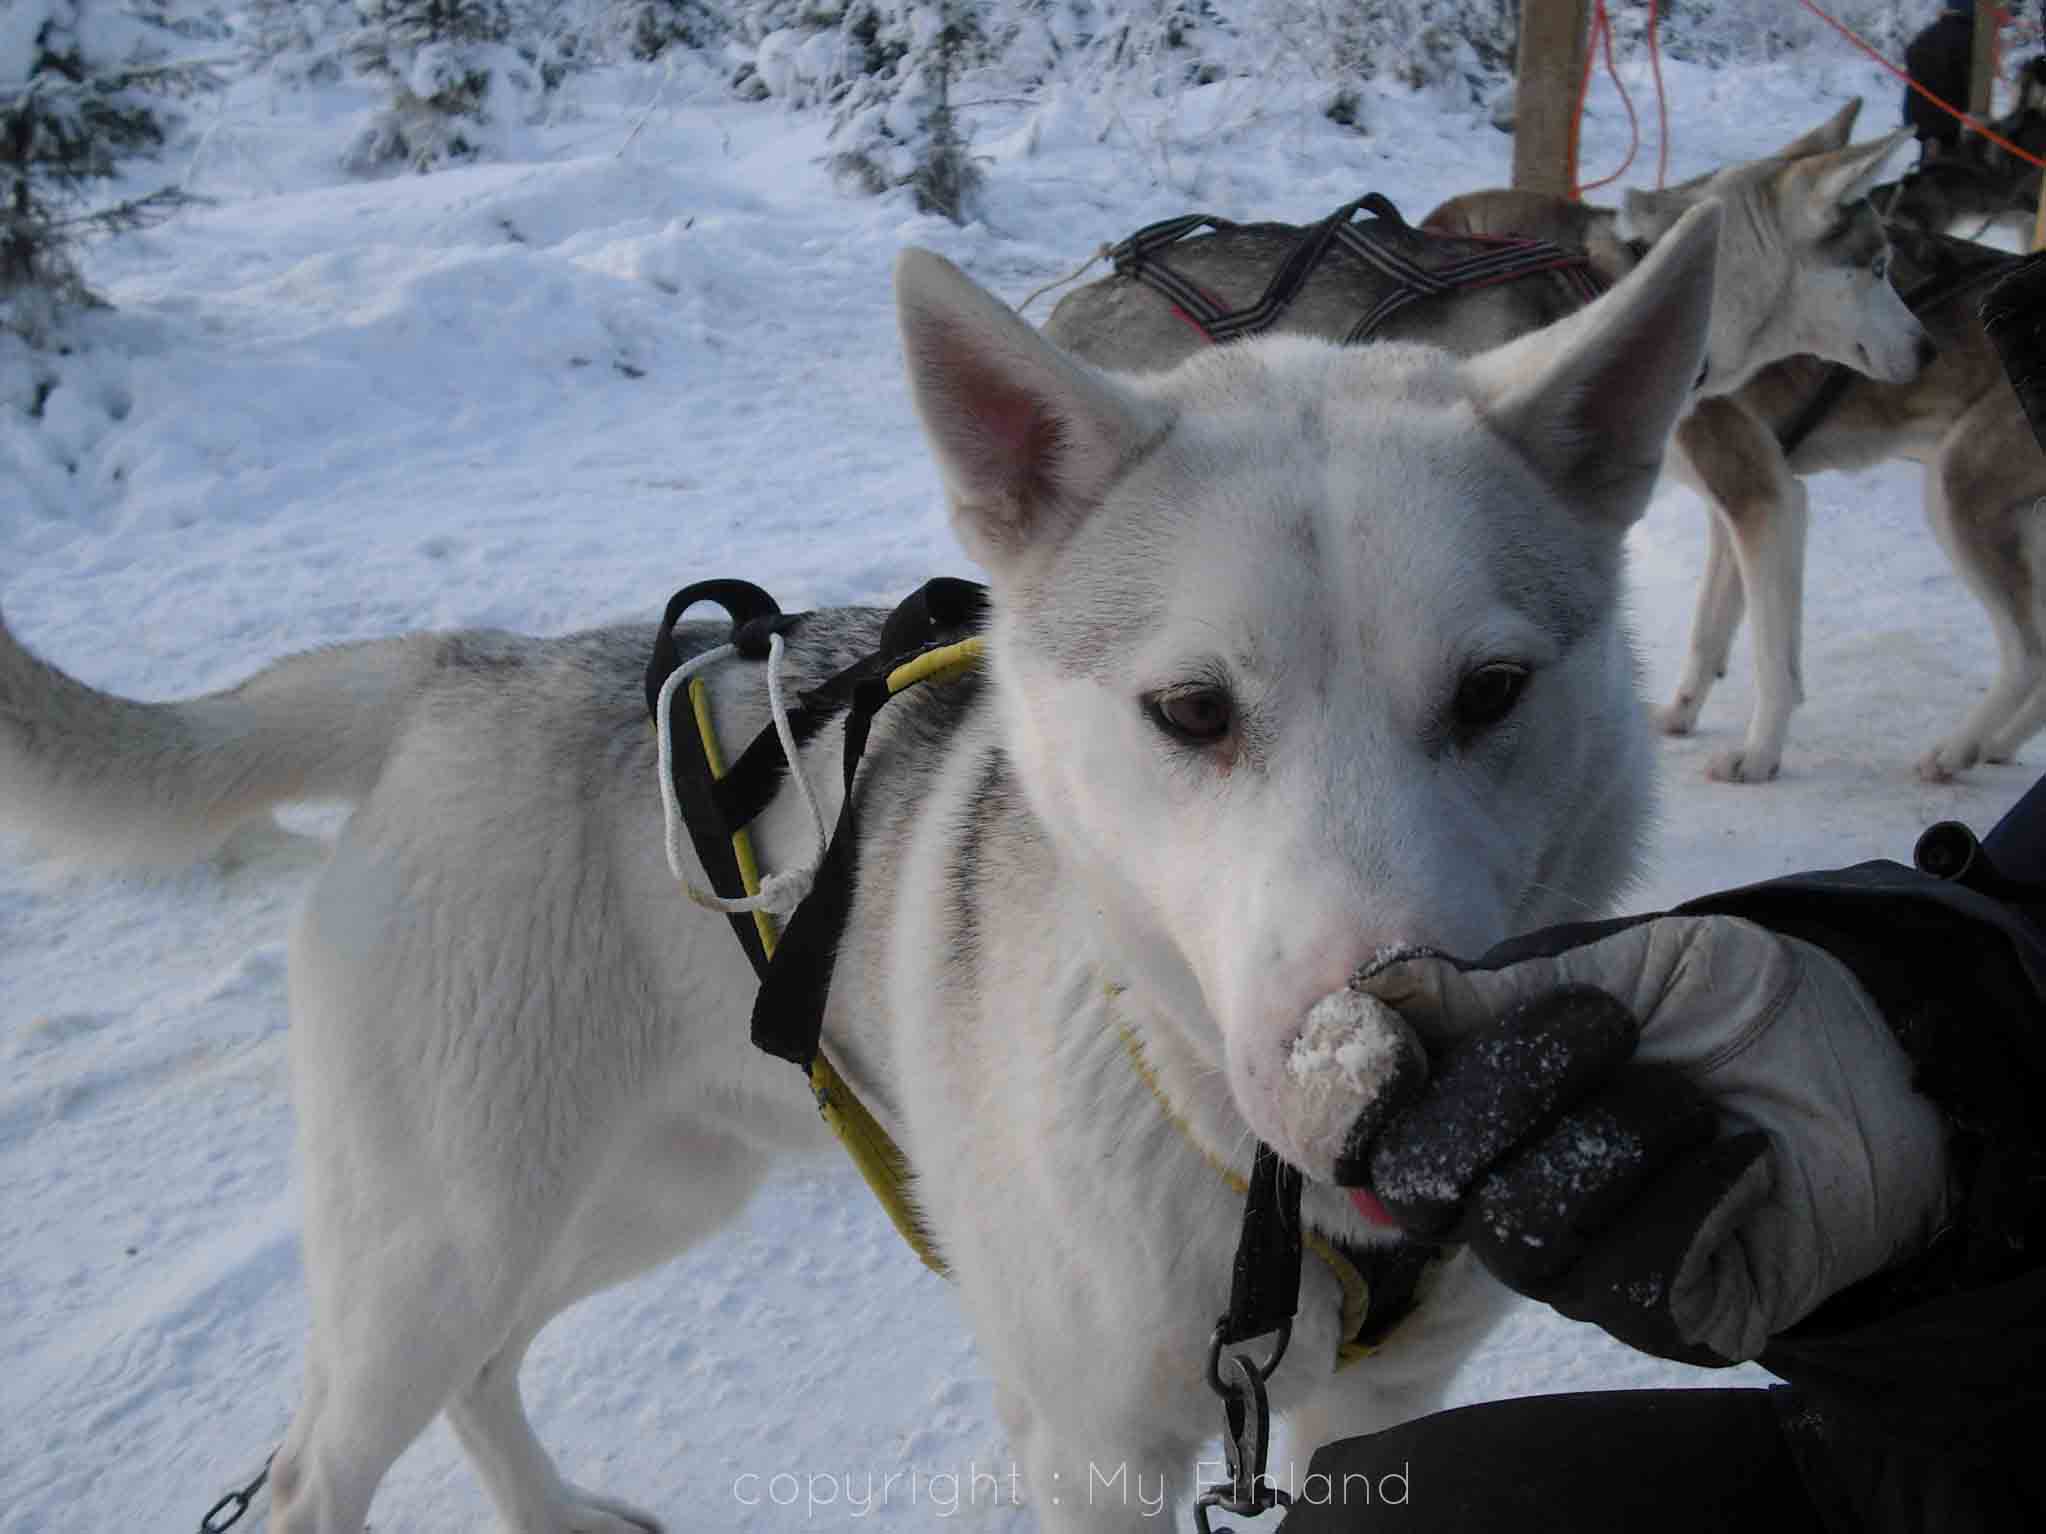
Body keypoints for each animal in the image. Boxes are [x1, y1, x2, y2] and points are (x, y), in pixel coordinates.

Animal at [0, 207, 1726, 1534]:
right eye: (1190, 711)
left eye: (1490, 691)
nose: (1402, 1075)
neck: (1260, 1213)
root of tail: (449, 670)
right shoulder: (1091, 1452)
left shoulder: (1377, 1426)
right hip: (444, 1239)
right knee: (317, 1472)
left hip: (651, 1187)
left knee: (487, 1373)